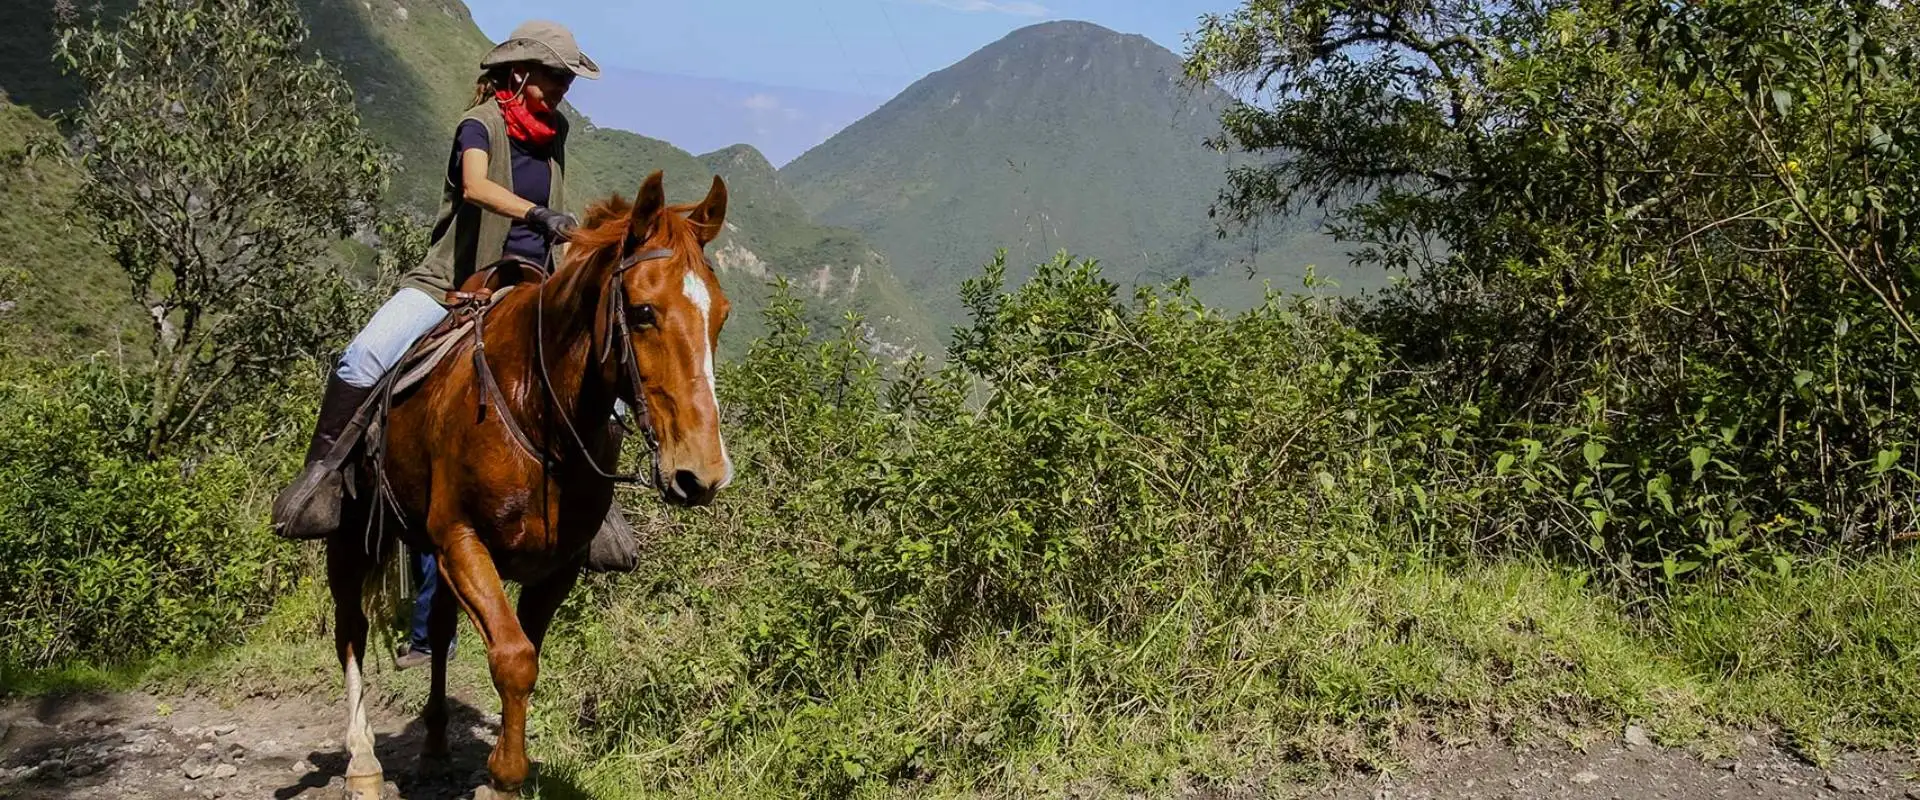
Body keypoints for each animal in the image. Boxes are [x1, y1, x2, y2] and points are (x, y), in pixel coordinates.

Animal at [325, 171, 734, 799]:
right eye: (643, 311)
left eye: (721, 316)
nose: (703, 474)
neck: (535, 406)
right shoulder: (461, 540)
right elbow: (514, 659)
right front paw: (502, 778)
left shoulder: (554, 566)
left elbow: (525, 655)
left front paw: (504, 774)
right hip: (350, 537)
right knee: (352, 628)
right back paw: (364, 763)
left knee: (438, 627)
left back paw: (435, 748)